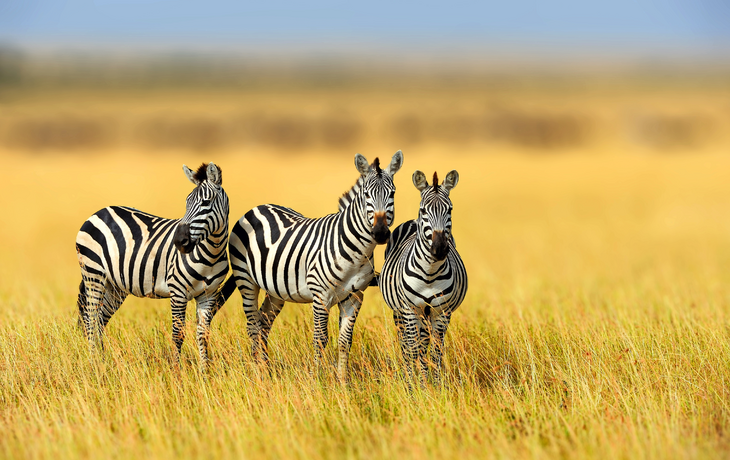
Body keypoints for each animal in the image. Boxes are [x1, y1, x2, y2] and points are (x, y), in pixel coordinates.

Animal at [75, 162, 229, 369]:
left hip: (115, 286)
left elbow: (203, 335)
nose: (179, 241)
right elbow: (178, 334)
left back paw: (102, 363)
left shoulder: (208, 294)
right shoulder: (178, 291)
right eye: (186, 203)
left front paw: (205, 372)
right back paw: (93, 365)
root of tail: (100, 212)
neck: (211, 254)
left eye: (206, 202)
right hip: (94, 275)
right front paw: (177, 371)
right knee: (90, 320)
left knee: (99, 321)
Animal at [215, 151, 403, 380]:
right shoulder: (320, 296)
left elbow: (345, 341)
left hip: (276, 290)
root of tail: (258, 207)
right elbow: (320, 340)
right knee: (252, 325)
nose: (381, 233)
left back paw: (266, 369)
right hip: (246, 280)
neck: (357, 252)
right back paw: (258, 372)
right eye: (366, 194)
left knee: (264, 323)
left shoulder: (355, 297)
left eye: (392, 193)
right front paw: (318, 380)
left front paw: (343, 382)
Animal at [378, 169, 467, 385]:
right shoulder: (409, 309)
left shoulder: (441, 312)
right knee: (405, 343)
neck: (430, 272)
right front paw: (414, 386)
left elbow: (435, 351)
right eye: (424, 210)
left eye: (450, 209)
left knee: (424, 343)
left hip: (427, 314)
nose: (440, 249)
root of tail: (412, 220)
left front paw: (434, 385)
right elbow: (412, 349)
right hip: (400, 312)